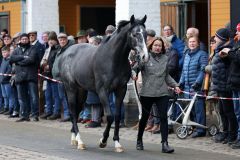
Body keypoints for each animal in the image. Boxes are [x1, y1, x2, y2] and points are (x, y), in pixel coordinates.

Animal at [58, 15, 148, 152]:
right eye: (134, 34)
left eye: (146, 34)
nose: (144, 57)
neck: (112, 59)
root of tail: (66, 53)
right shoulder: (102, 91)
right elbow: (109, 116)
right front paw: (103, 141)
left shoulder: (120, 90)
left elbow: (117, 115)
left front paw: (117, 144)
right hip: (70, 88)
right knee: (73, 112)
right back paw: (80, 142)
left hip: (82, 91)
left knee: (77, 111)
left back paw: (74, 139)